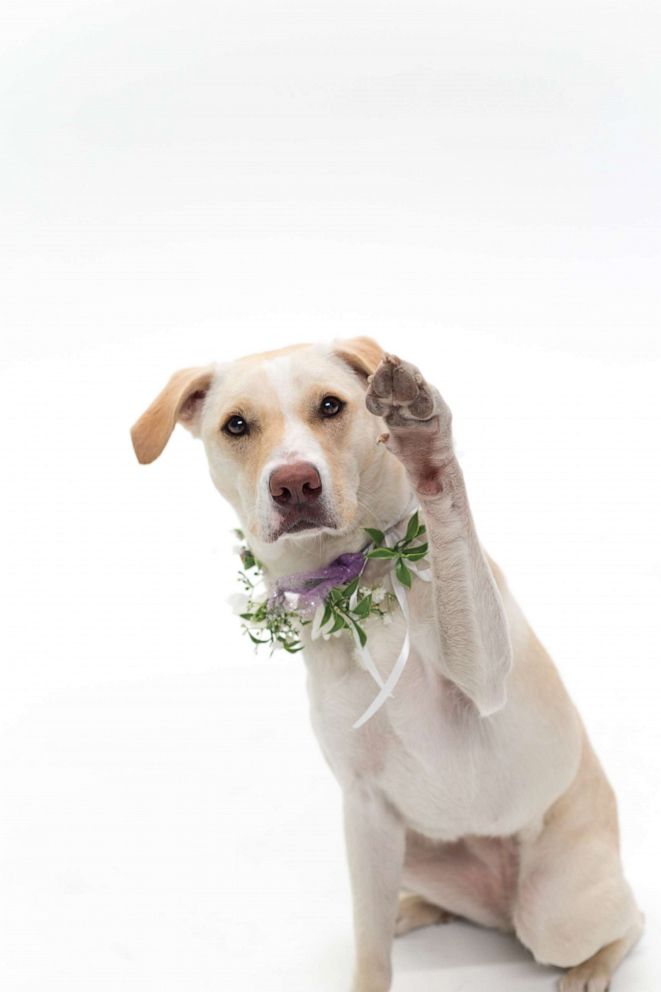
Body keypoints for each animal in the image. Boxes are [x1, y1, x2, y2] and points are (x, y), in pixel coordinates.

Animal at [129, 338, 640, 988]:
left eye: (330, 405)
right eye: (236, 425)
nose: (294, 484)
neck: (358, 588)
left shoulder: (485, 680)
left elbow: (453, 527)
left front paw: (425, 445)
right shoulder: (365, 809)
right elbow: (369, 946)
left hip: (557, 910)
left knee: (624, 921)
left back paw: (592, 965)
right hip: (406, 847)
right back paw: (421, 907)